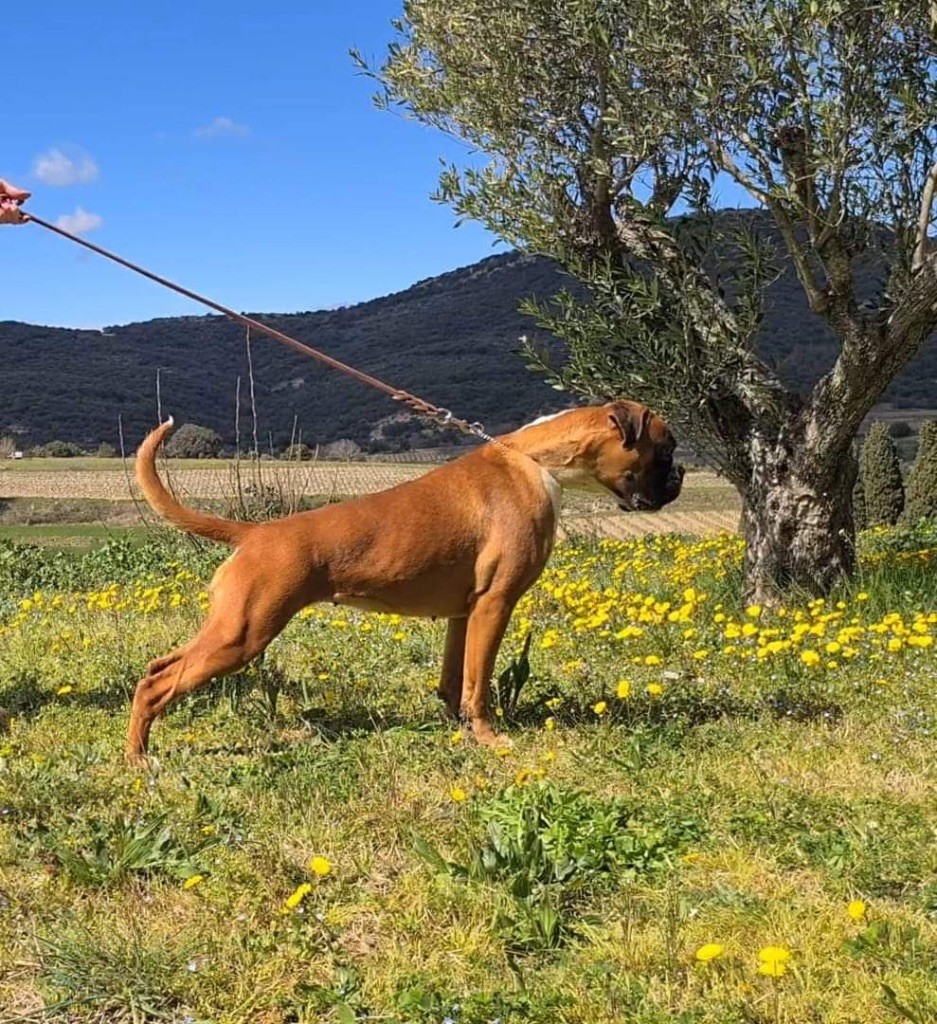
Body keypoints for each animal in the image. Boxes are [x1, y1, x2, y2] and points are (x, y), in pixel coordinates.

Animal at [124, 399, 679, 761]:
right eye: (667, 448)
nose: (680, 479)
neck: (536, 461)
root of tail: (257, 532)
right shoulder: (495, 605)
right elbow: (480, 682)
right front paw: (488, 738)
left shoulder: (464, 614)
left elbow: (456, 679)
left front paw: (458, 727)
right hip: (243, 635)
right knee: (155, 686)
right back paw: (138, 760)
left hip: (228, 630)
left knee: (158, 668)